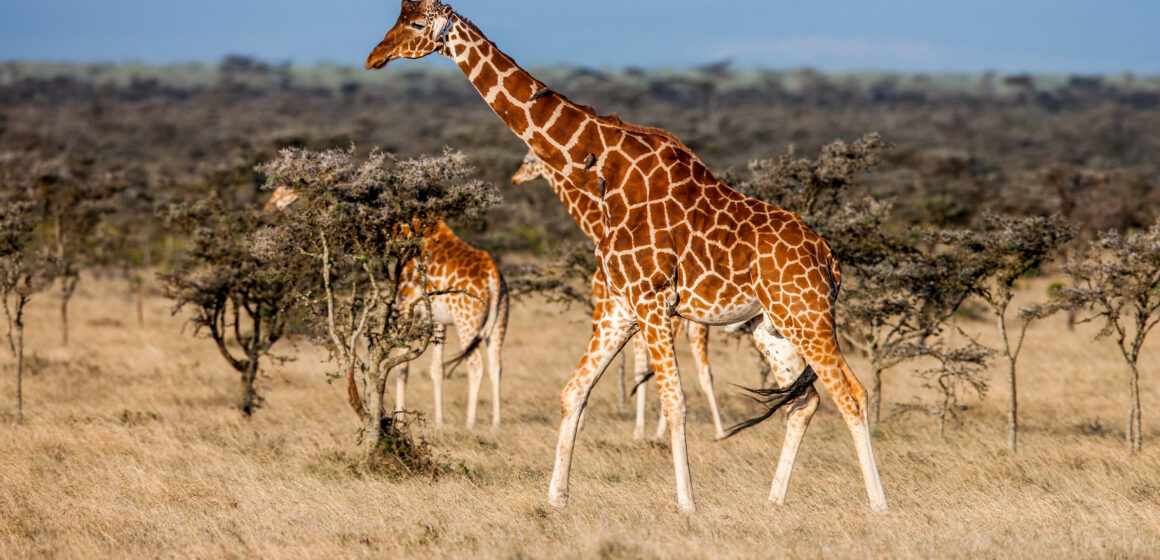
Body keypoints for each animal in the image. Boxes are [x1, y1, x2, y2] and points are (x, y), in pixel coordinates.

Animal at [265, 185, 510, 429]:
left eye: (287, 187)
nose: (270, 207)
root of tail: (494, 277)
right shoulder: (438, 320)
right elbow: (436, 369)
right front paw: (439, 423)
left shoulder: (405, 307)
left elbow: (401, 367)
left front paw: (401, 421)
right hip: (499, 321)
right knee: (496, 366)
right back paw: (496, 423)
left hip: (467, 321)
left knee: (476, 366)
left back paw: (470, 423)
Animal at [512, 151, 726, 441]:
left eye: (528, 161)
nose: (515, 178)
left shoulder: (609, 304)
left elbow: (634, 367)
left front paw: (634, 430)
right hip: (698, 325)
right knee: (706, 371)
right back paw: (719, 431)